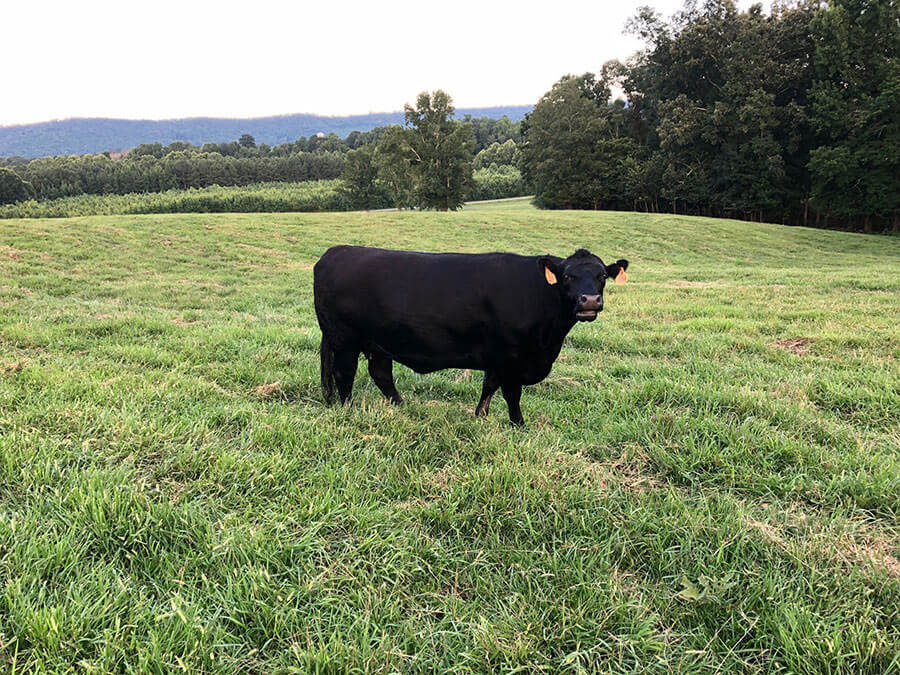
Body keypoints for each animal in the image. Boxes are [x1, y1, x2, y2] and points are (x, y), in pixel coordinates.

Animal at [312, 248, 628, 426]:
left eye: (602, 276)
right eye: (566, 277)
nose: (590, 301)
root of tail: (335, 252)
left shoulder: (497, 356)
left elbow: (489, 386)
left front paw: (480, 416)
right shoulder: (511, 356)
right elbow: (511, 394)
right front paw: (519, 425)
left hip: (380, 342)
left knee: (381, 374)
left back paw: (402, 406)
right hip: (344, 340)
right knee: (345, 375)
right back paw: (348, 409)